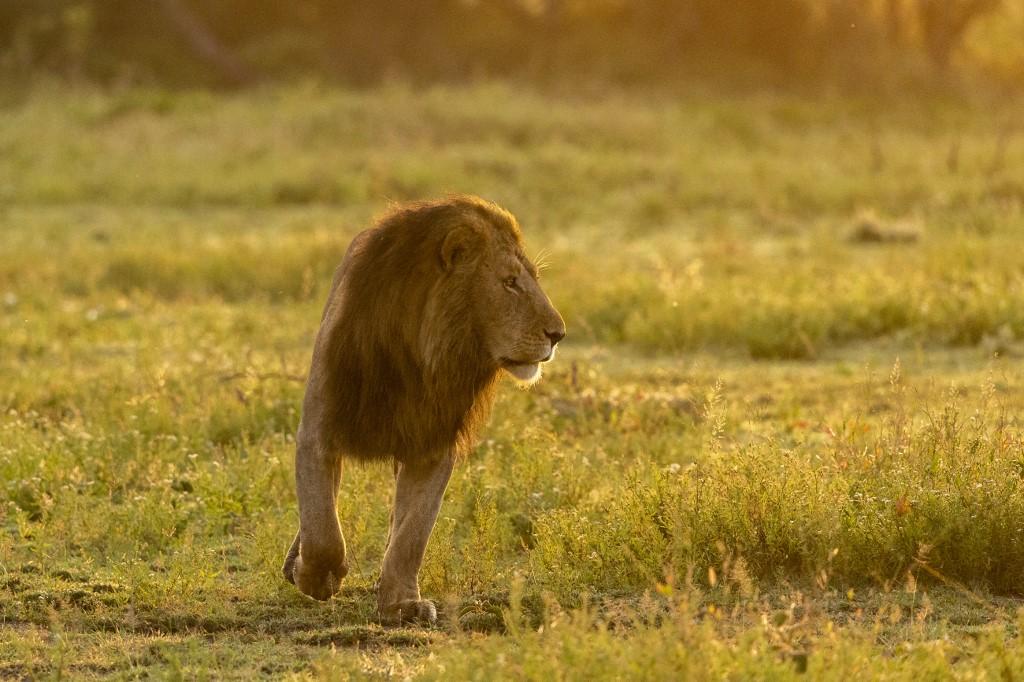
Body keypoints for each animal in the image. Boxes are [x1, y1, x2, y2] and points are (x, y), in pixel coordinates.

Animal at [284, 192, 565, 622]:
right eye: (510, 282)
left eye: (533, 278)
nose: (558, 334)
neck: (420, 357)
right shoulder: (319, 429)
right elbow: (323, 527)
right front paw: (315, 578)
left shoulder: (432, 444)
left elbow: (412, 532)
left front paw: (402, 603)